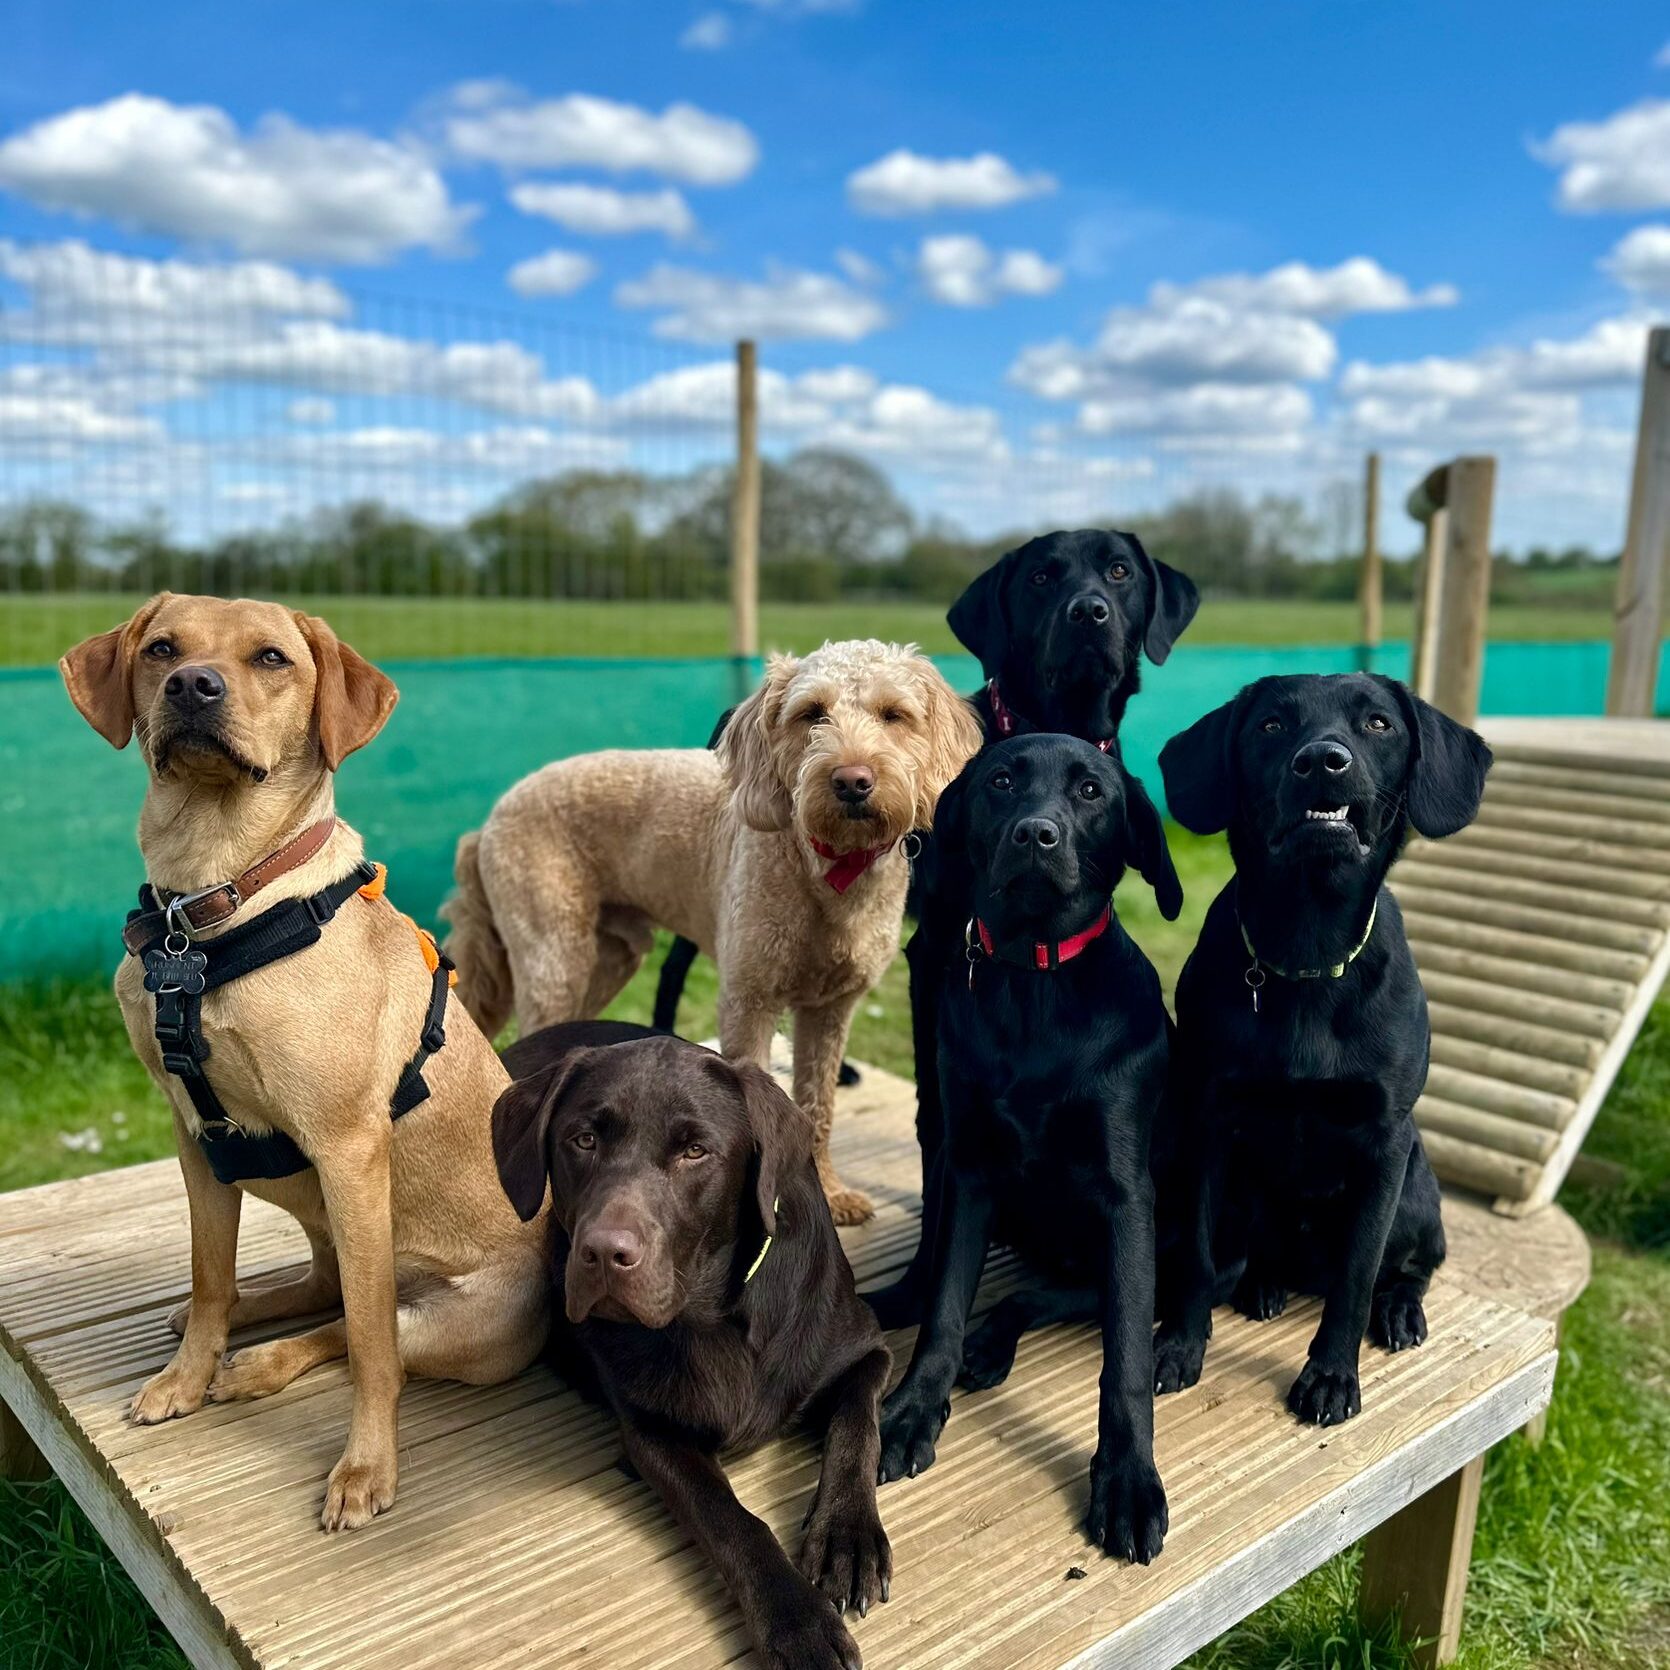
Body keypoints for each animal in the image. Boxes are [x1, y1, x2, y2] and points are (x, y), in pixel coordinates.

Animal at [490, 1015, 888, 1670]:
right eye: (583, 1140)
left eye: (695, 1151)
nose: (604, 1254)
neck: (715, 1317)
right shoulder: (653, 1432)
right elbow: (731, 1519)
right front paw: (798, 1621)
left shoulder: (866, 1349)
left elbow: (858, 1427)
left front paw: (847, 1539)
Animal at [861, 527, 1202, 1322]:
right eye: (1043, 578)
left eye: (1119, 572)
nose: (1089, 611)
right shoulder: (936, 956)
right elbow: (939, 1144)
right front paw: (916, 1291)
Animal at [881, 734, 1182, 1563]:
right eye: (1001, 781)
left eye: (1091, 791)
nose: (1035, 836)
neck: (1035, 983)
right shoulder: (969, 1172)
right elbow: (943, 1308)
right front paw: (913, 1409)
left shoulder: (1128, 1200)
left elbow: (1125, 1357)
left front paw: (1127, 1480)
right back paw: (985, 1348)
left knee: (1074, 1298)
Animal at [1155, 671, 1496, 1429]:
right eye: (1272, 726)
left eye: (1377, 723)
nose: (1322, 761)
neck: (1308, 958)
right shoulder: (1209, 1126)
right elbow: (1194, 1253)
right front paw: (1180, 1345)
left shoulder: (1384, 1144)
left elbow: (1356, 1278)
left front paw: (1332, 1376)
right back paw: (1263, 1284)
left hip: (1415, 1193)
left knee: (1411, 1269)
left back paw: (1399, 1313)